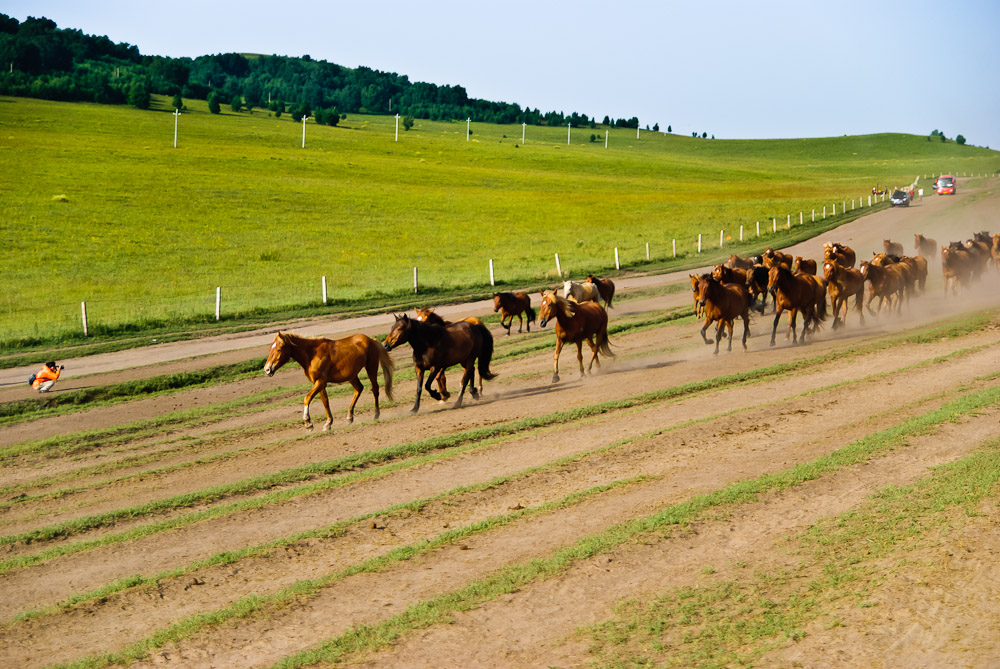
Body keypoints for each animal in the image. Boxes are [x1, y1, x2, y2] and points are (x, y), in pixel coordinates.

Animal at [266, 328, 394, 428]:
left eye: (279, 349)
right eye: (270, 349)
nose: (267, 369)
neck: (312, 354)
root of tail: (371, 340)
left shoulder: (321, 382)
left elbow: (307, 398)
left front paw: (308, 422)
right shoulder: (319, 383)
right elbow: (325, 401)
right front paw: (328, 423)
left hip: (371, 368)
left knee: (375, 389)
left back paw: (376, 415)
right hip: (352, 375)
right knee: (359, 389)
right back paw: (349, 417)